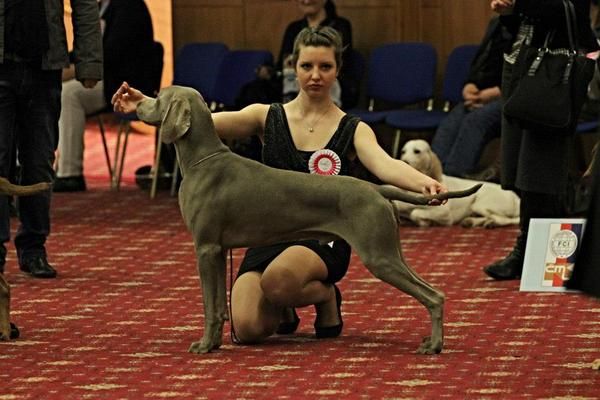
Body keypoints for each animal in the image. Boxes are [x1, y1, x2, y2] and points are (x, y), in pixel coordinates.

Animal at [134, 86, 481, 355]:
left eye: (158, 96)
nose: (135, 102)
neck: (203, 160)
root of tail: (375, 187)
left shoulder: (205, 248)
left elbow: (208, 305)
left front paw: (205, 346)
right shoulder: (218, 251)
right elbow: (218, 305)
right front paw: (215, 343)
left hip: (379, 256)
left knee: (433, 295)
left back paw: (434, 345)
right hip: (389, 251)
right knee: (433, 292)